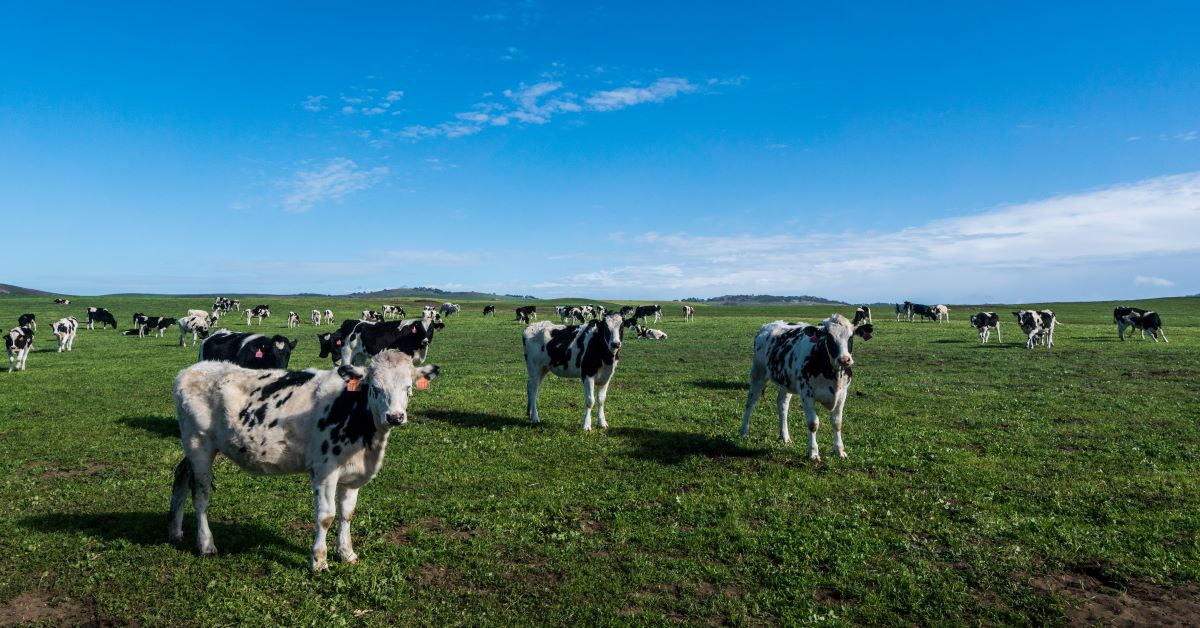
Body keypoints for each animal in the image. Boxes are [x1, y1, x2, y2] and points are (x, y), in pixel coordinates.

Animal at [734, 312, 878, 456]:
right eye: (829, 337)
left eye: (851, 336)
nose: (844, 359)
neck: (833, 374)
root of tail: (767, 326)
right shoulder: (806, 393)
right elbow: (813, 423)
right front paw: (813, 452)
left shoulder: (843, 394)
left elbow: (837, 423)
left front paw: (840, 450)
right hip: (758, 373)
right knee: (751, 402)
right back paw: (744, 432)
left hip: (787, 382)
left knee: (782, 404)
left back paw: (785, 436)